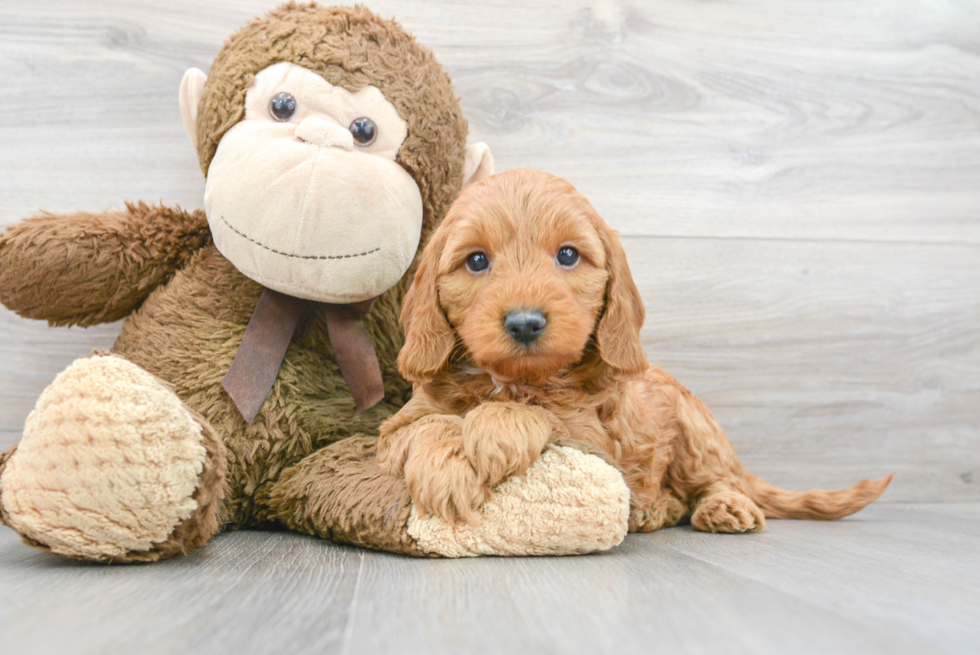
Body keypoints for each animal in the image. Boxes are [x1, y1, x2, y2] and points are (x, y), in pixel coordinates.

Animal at [378, 168, 896, 532]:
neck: (515, 379)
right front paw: (447, 468)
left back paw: (722, 505)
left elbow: (538, 411)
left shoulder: (594, 436)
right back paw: (656, 509)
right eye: (477, 261)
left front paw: (494, 429)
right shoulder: (395, 431)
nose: (525, 322)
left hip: (695, 432)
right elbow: (428, 425)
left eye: (568, 255)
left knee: (714, 480)